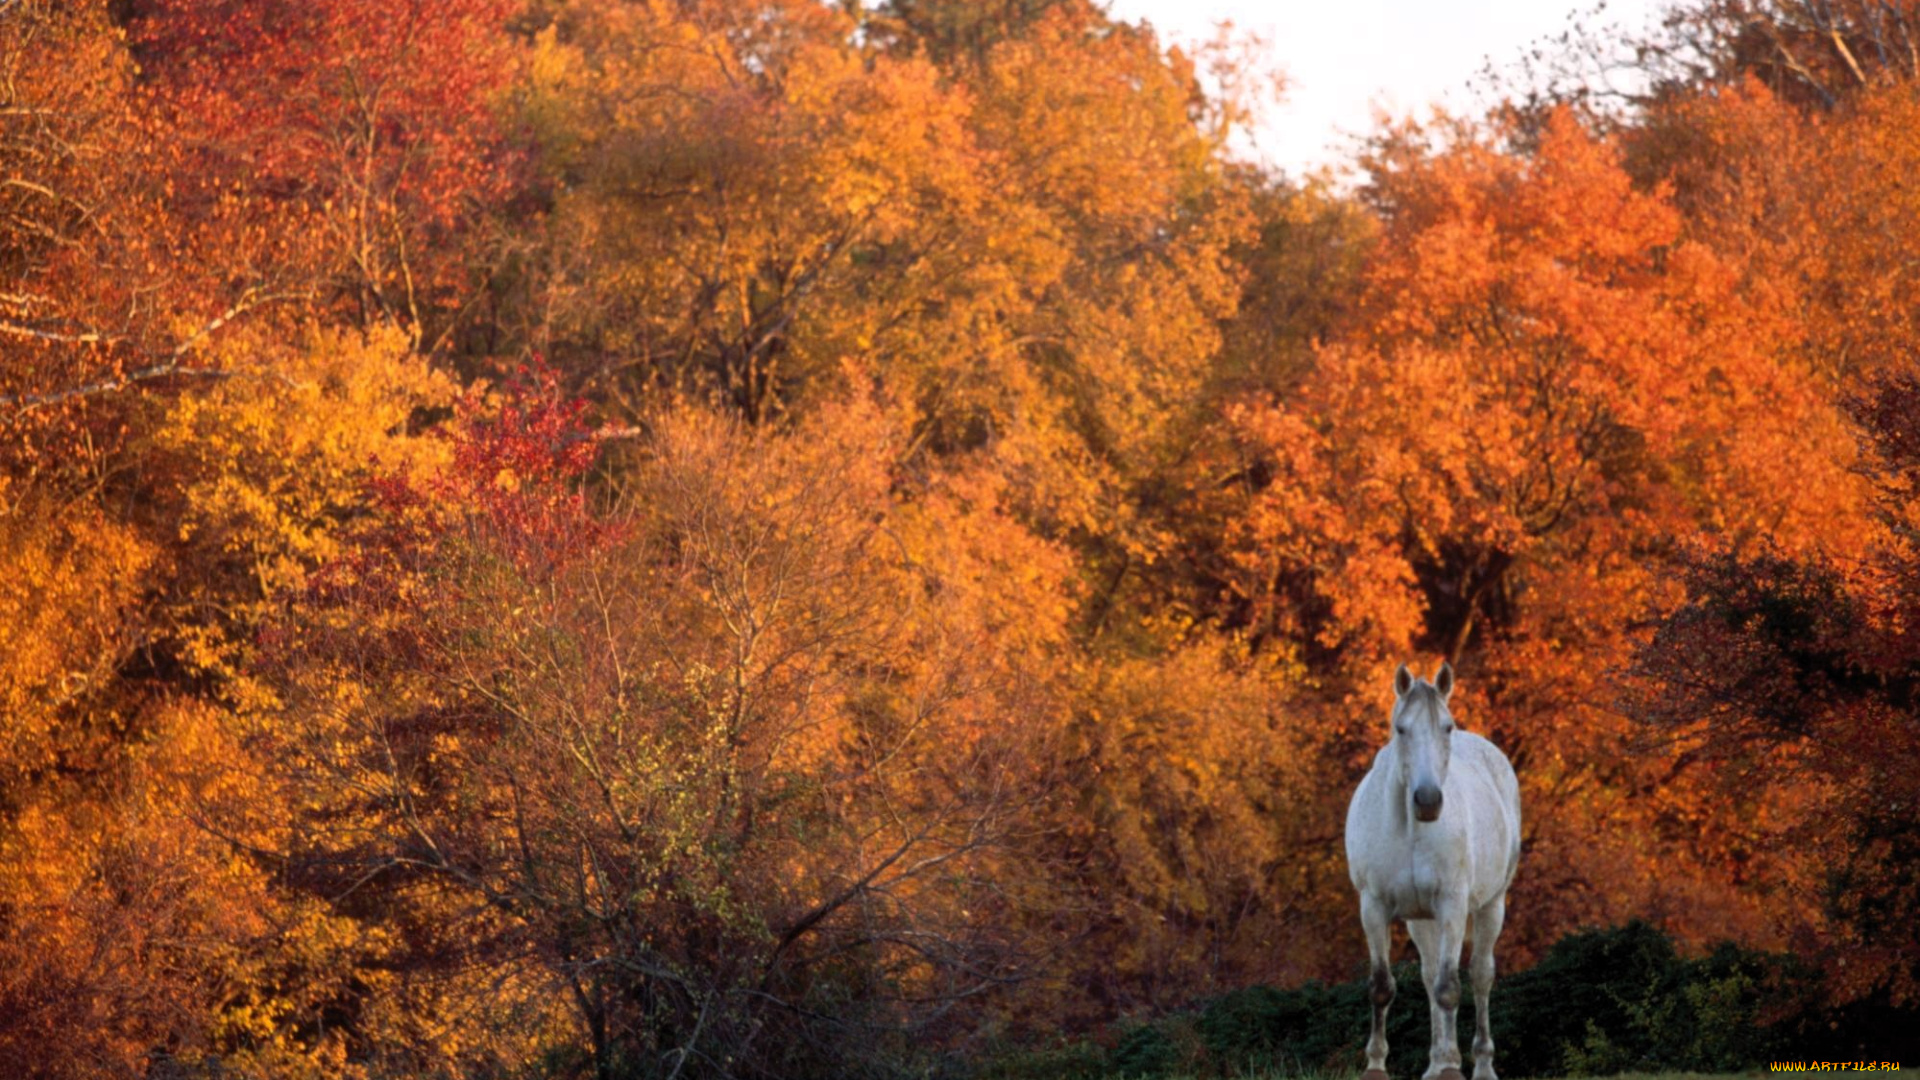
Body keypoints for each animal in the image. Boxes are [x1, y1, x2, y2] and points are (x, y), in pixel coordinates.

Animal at [1344, 661, 1520, 1076]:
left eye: (1447, 727)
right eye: (1400, 729)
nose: (1427, 801)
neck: (1410, 827)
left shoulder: (1452, 905)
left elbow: (1449, 988)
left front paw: (1454, 1068)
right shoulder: (1373, 906)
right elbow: (1382, 986)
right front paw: (1376, 1066)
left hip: (1491, 906)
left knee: (1479, 975)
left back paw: (1479, 1066)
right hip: (1420, 918)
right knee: (1428, 976)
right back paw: (1435, 1064)